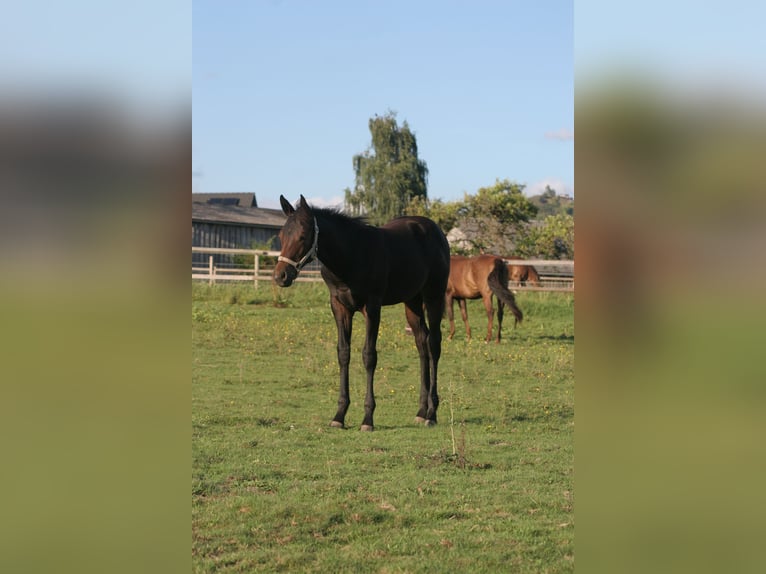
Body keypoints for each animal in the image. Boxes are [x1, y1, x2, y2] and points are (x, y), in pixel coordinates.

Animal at [272, 196, 450, 430]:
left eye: (302, 236)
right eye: (281, 236)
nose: (281, 276)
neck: (350, 255)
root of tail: (436, 231)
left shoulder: (372, 307)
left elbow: (369, 356)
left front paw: (368, 418)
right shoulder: (339, 307)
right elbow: (343, 353)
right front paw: (339, 415)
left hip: (433, 296)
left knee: (434, 344)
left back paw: (432, 413)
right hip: (412, 301)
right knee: (422, 342)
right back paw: (421, 411)